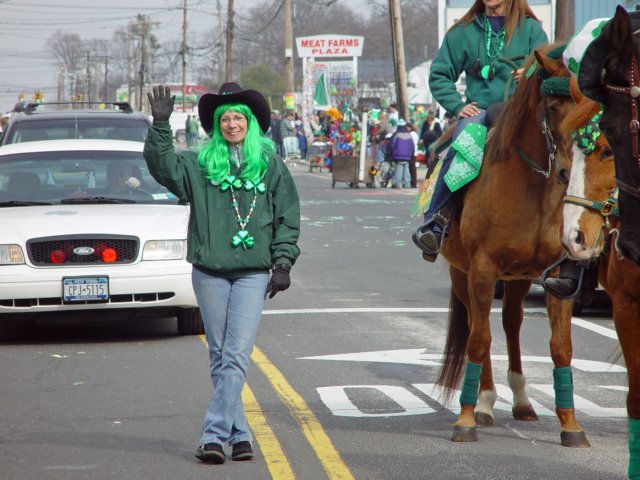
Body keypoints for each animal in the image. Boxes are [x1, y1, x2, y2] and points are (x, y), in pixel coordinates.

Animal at [436, 45, 592, 446]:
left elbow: (561, 347)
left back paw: (520, 401)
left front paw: (570, 425)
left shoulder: (559, 277)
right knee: (477, 325)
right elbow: (478, 340)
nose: (568, 174)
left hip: (519, 278)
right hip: (462, 274)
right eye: (552, 106)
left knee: (510, 322)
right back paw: (485, 402)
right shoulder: (482, 270)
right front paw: (467, 419)